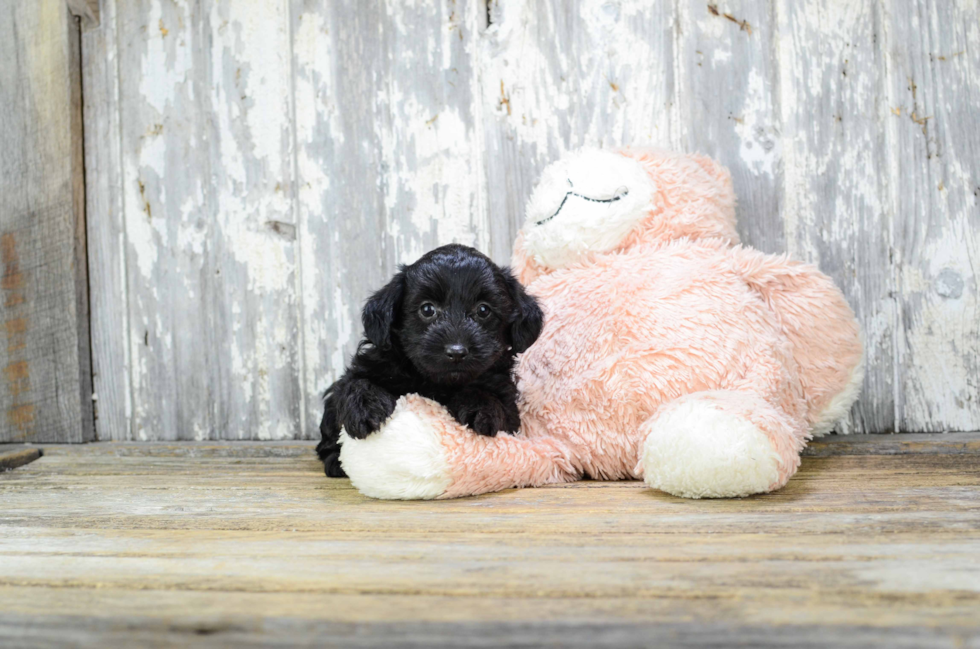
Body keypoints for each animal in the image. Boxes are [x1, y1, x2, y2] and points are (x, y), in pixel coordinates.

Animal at [316, 243, 540, 476]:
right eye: (427, 309)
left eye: (483, 310)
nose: (456, 351)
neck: (437, 383)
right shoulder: (371, 367)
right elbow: (355, 383)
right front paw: (364, 408)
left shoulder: (507, 405)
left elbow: (490, 399)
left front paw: (481, 409)